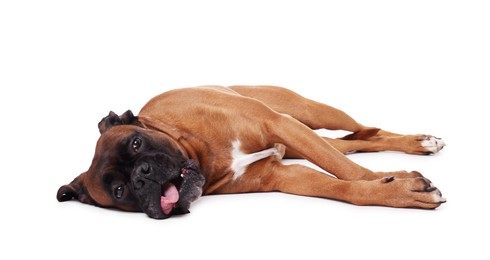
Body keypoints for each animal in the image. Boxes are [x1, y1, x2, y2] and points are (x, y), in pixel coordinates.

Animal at [55, 86, 446, 218]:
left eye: (136, 143)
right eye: (120, 191)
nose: (142, 175)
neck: (202, 152)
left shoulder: (280, 124)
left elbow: (348, 172)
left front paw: (393, 181)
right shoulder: (285, 174)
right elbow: (341, 184)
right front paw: (391, 188)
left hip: (309, 114)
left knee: (363, 131)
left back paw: (419, 141)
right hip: (303, 137)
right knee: (356, 142)